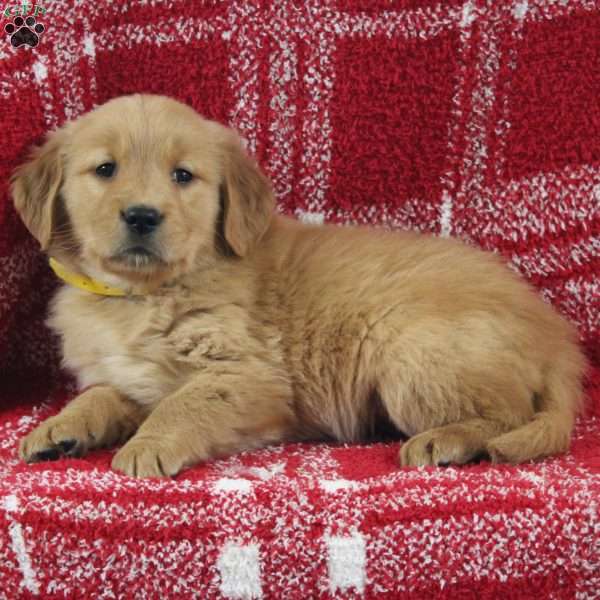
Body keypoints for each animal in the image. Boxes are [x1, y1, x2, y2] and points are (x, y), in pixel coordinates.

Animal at [11, 95, 588, 478]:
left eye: (183, 176)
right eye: (105, 169)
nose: (142, 215)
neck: (139, 294)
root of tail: (556, 337)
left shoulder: (251, 377)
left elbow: (186, 402)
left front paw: (147, 444)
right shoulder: (135, 377)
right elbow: (100, 395)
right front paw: (58, 429)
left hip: (408, 354)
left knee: (509, 414)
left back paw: (447, 440)